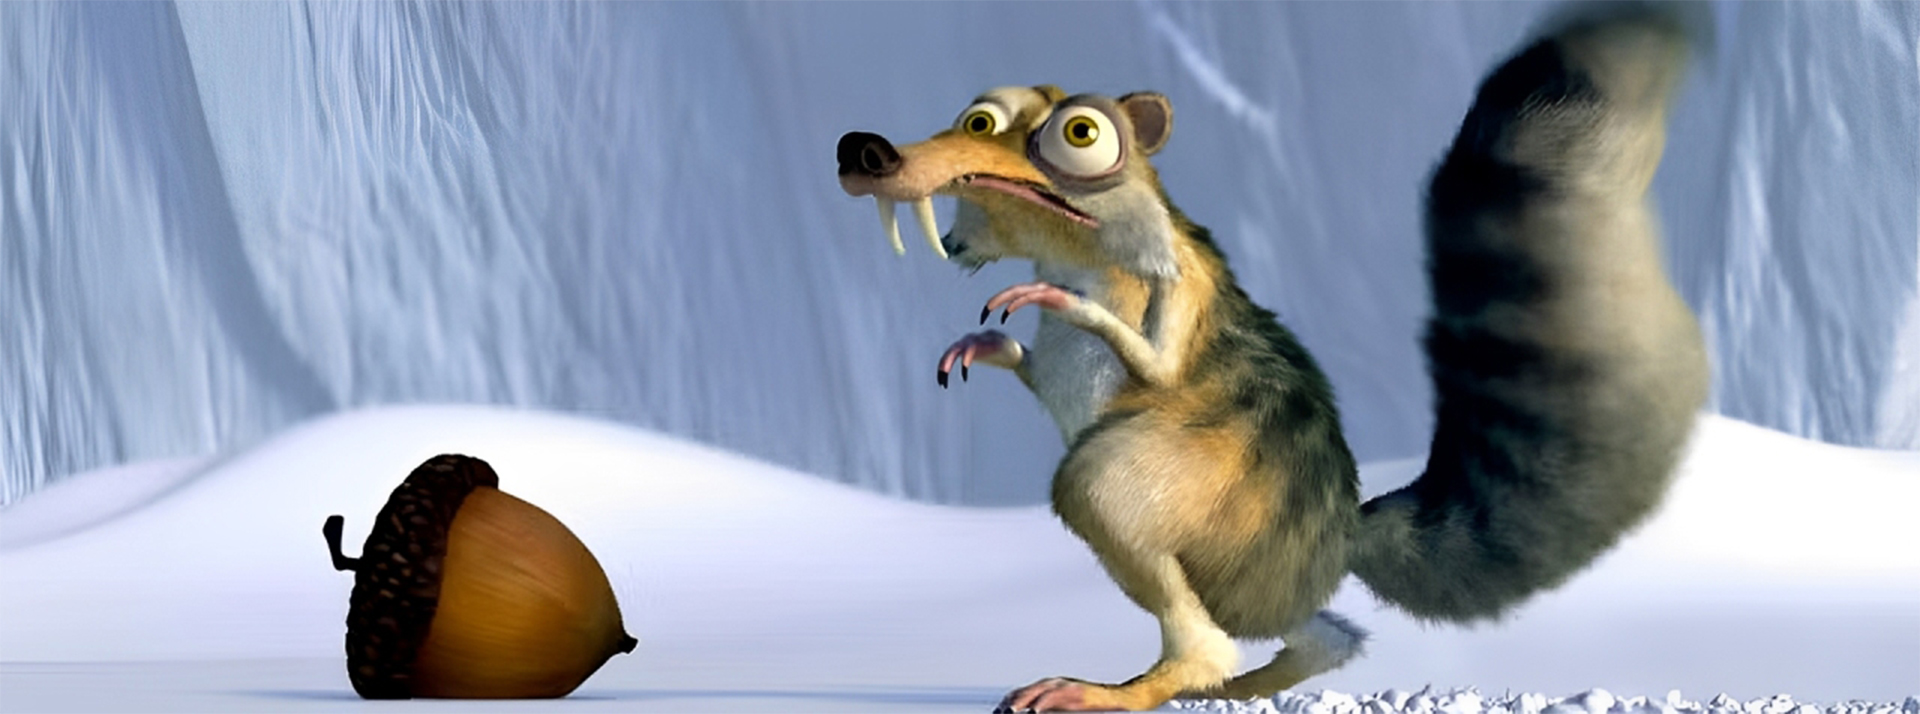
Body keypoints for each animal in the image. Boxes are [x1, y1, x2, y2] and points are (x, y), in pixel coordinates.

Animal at [837, 7, 1708, 712]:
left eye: (1080, 136)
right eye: (977, 119)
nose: (866, 150)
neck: (1077, 251)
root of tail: (1336, 535)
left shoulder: (1179, 286)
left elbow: (1154, 365)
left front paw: (1059, 306)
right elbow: (1033, 362)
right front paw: (991, 342)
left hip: (1194, 486)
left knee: (1102, 493)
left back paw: (1156, 683)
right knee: (1328, 635)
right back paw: (1246, 682)